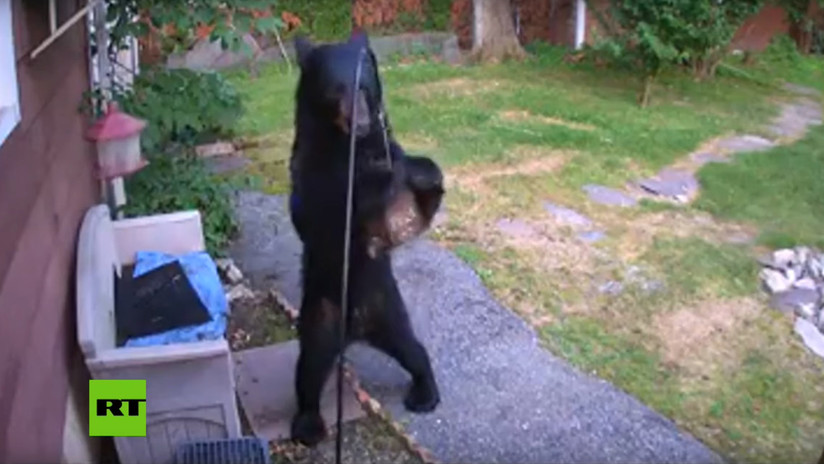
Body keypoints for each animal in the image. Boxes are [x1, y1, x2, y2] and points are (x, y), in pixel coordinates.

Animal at [288, 32, 444, 446]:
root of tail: (356, 330)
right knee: (309, 369)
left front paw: (419, 173)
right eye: (334, 90)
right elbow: (319, 208)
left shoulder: (386, 148)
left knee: (412, 349)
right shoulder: (311, 171)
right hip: (321, 315)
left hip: (388, 310)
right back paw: (308, 424)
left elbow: (415, 184)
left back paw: (425, 392)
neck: (349, 147)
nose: (359, 121)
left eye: (364, 86)